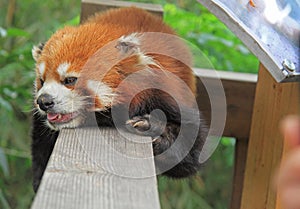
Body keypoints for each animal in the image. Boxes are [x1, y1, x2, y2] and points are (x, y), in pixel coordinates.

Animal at [31, 6, 207, 193]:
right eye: (42, 81)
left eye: (70, 80)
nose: (43, 101)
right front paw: (39, 180)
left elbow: (193, 152)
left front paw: (153, 126)